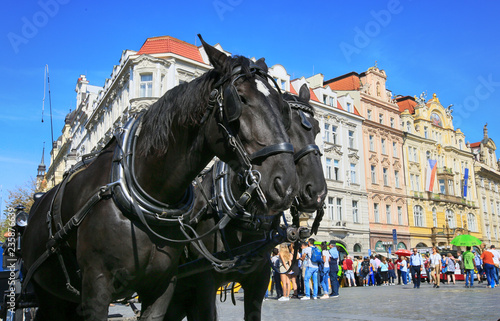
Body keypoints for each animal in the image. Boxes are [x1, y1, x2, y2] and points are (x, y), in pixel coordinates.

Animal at [21, 35, 298, 320]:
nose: (287, 185)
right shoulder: (97, 289)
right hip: (48, 292)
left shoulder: (164, 286)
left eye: (282, 109)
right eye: (239, 99)